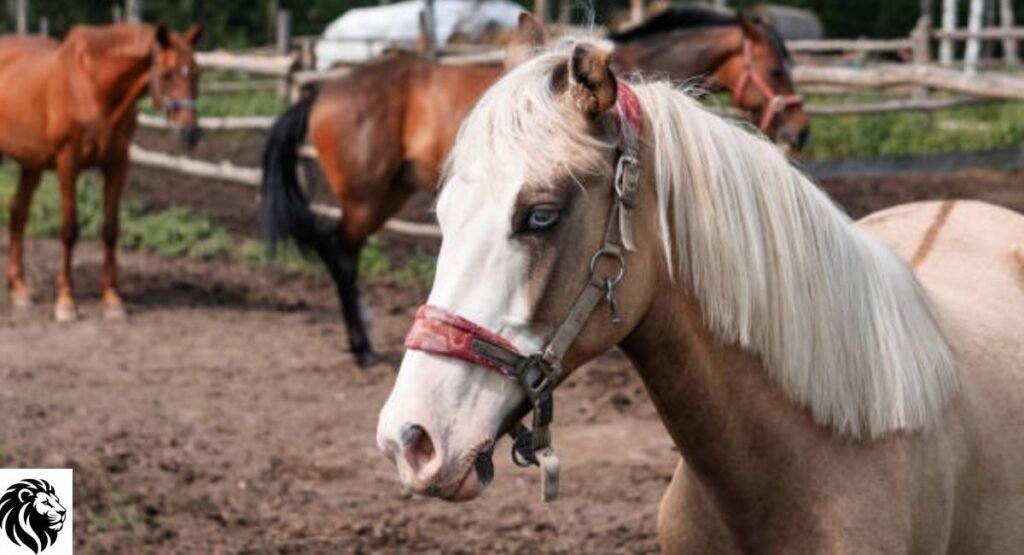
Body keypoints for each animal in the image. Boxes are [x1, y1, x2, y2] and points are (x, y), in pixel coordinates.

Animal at [1, 23, 203, 321]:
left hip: (31, 163)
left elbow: (110, 230)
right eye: (167, 74)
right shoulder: (67, 163)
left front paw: (112, 301)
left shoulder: (118, 164)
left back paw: (19, 290)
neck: (93, 89)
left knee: (18, 213)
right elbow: (69, 230)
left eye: (197, 72)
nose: (189, 134)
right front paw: (66, 303)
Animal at [261, 8, 808, 366]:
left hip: (389, 192)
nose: (799, 132)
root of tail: (322, 92)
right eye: (775, 68)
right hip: (366, 195)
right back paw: (362, 344)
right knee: (341, 254)